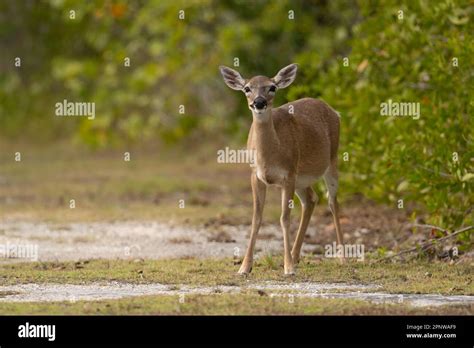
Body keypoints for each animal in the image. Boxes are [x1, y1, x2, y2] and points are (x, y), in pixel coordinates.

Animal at [220, 62, 342, 274]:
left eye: (272, 87)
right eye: (247, 88)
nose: (259, 102)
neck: (269, 158)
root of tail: (334, 111)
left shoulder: (288, 174)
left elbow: (284, 218)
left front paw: (288, 268)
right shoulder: (255, 176)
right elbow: (256, 218)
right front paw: (244, 267)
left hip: (331, 160)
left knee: (332, 201)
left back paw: (343, 257)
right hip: (302, 179)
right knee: (311, 199)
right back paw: (296, 256)